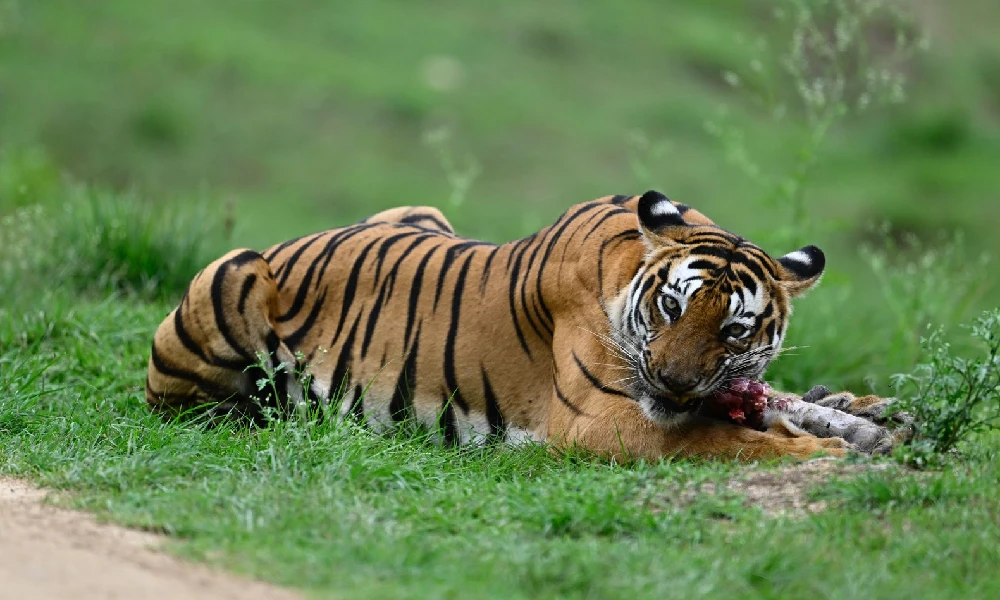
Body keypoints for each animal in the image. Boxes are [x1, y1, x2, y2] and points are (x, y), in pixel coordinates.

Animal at [145, 191, 904, 460]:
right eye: (671, 308)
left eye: (735, 333)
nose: (672, 382)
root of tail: (287, 242)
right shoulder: (603, 422)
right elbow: (720, 440)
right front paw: (825, 451)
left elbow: (767, 406)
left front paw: (863, 415)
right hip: (231, 276)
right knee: (198, 408)